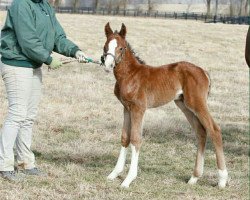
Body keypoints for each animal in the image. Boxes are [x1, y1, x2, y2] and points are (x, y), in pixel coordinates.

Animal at [102, 22, 228, 188]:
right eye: (105, 46)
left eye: (121, 48)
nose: (108, 65)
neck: (131, 74)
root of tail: (204, 71)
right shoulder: (126, 108)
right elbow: (125, 137)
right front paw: (114, 173)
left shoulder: (138, 108)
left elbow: (135, 139)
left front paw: (128, 179)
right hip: (184, 104)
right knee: (201, 132)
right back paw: (194, 177)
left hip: (197, 103)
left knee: (214, 130)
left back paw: (222, 179)